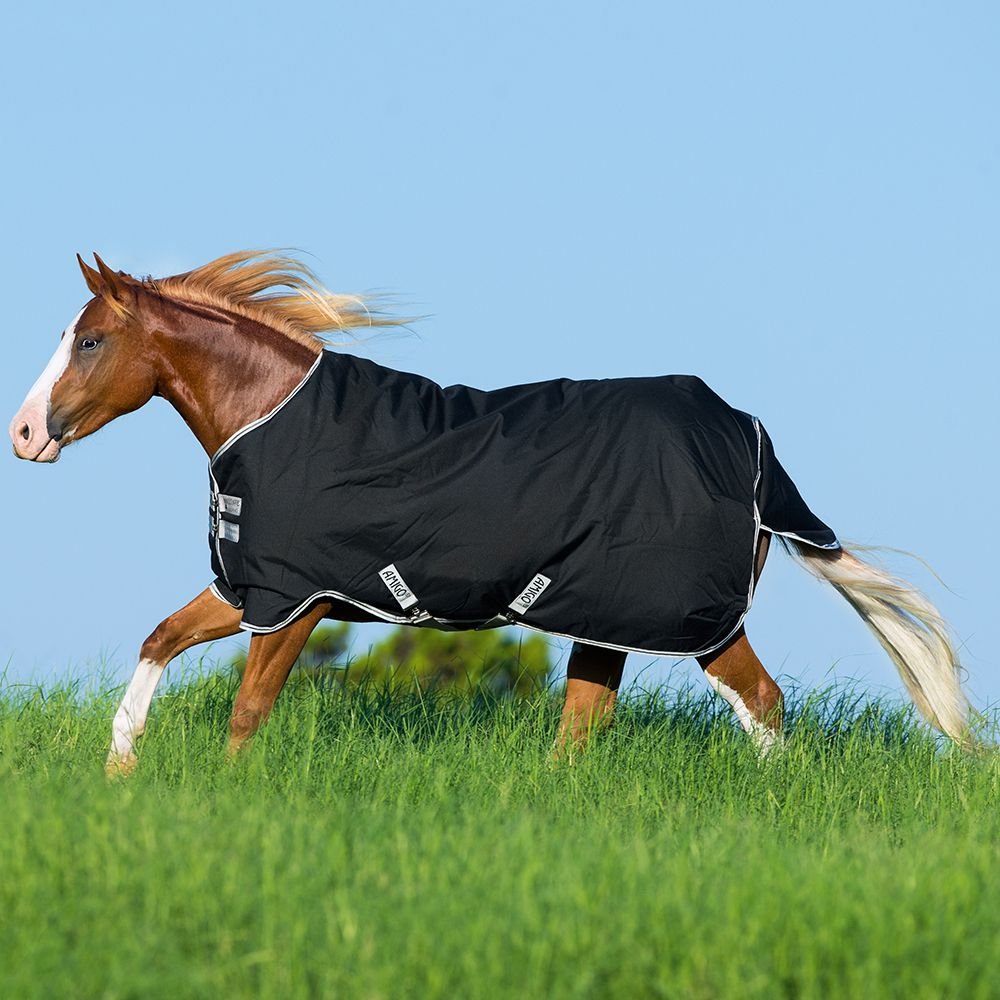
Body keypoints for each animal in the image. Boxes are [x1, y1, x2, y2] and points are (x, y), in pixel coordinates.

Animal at [9, 251, 972, 774]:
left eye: (89, 339)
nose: (23, 434)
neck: (272, 417)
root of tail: (749, 438)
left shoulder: (297, 599)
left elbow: (249, 709)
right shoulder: (254, 590)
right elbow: (158, 640)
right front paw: (120, 771)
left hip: (690, 617)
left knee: (762, 704)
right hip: (601, 615)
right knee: (582, 729)